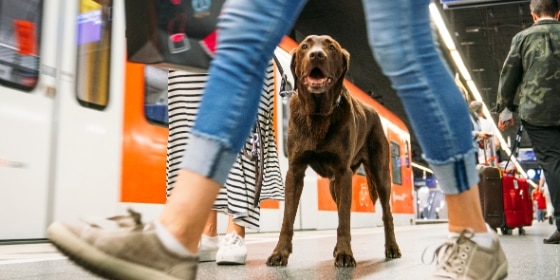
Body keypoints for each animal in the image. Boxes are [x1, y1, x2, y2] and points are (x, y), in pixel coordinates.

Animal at [268, 35, 402, 266]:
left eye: (331, 47)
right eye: (305, 46)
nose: (316, 55)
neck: (318, 115)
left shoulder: (343, 172)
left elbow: (344, 219)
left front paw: (345, 254)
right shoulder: (295, 171)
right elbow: (287, 218)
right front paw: (280, 253)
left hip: (380, 174)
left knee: (386, 213)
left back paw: (391, 247)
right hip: (333, 186)